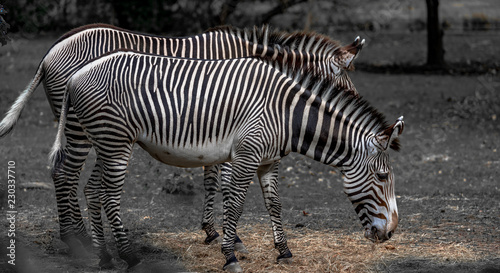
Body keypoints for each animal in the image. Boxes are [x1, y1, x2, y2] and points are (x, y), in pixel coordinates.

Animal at [0, 22, 364, 252]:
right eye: (343, 89)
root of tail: (50, 51)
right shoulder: (224, 122)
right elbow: (222, 182)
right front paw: (226, 235)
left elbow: (212, 180)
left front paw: (213, 231)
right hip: (81, 125)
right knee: (65, 173)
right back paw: (75, 238)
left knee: (63, 172)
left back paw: (77, 235)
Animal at [48, 49, 404, 272]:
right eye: (383, 177)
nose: (390, 233)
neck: (286, 115)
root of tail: (77, 75)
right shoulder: (246, 155)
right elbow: (235, 204)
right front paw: (230, 255)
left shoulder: (268, 161)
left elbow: (274, 205)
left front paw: (284, 252)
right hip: (115, 142)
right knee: (107, 195)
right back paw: (128, 256)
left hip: (103, 141)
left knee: (92, 190)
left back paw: (105, 258)